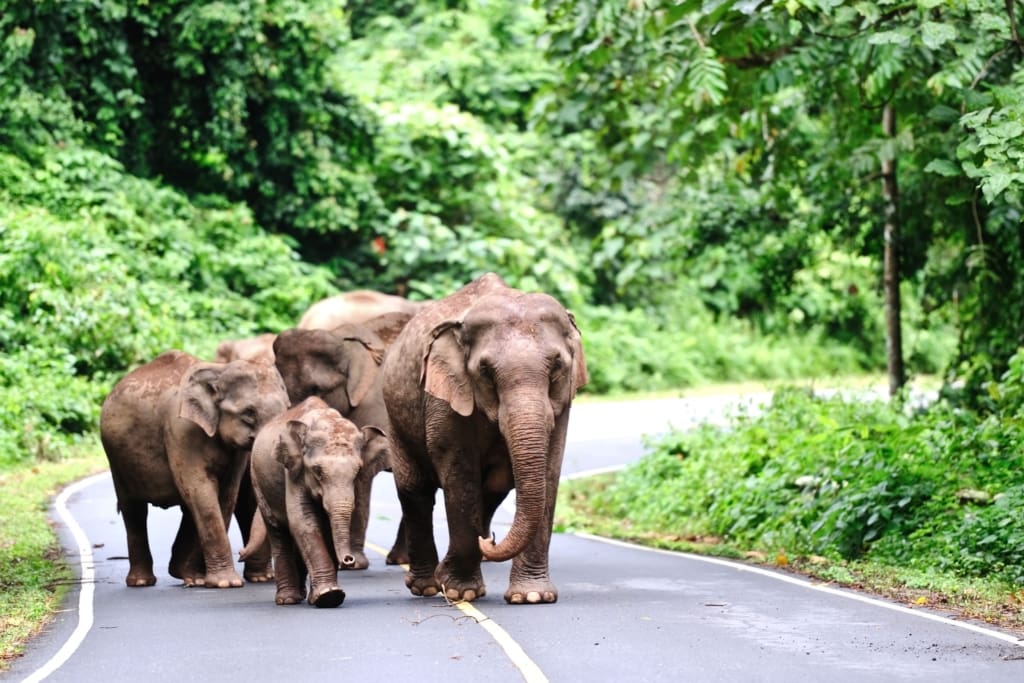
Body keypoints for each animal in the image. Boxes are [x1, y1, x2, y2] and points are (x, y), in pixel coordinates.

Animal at [98, 352, 288, 589]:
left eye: (288, 408)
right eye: (248, 413)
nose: (241, 553)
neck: (219, 370)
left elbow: (225, 495)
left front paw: (205, 579)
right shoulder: (181, 430)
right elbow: (201, 491)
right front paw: (225, 583)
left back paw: (189, 576)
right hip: (117, 461)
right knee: (134, 509)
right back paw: (142, 581)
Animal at [245, 395, 389, 610]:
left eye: (357, 471)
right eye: (317, 471)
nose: (348, 560)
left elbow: (325, 527)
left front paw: (325, 597)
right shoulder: (293, 471)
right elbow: (303, 521)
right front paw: (329, 596)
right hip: (257, 481)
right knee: (278, 531)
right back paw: (287, 600)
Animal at [380, 272, 589, 602]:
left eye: (557, 367)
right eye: (485, 371)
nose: (490, 539)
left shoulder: (563, 403)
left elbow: (550, 471)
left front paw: (532, 597)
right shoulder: (444, 397)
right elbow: (460, 475)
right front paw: (461, 592)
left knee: (492, 491)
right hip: (395, 419)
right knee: (415, 490)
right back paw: (427, 587)